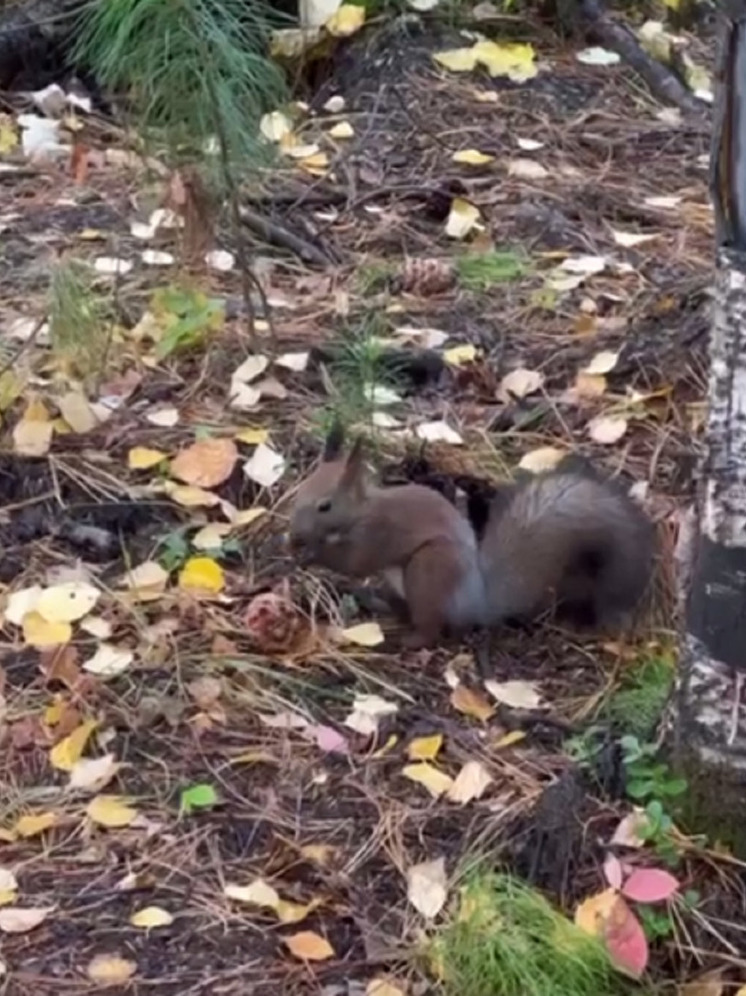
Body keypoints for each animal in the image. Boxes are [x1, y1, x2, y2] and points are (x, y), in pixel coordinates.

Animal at [288, 424, 652, 648]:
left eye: (324, 505)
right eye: (300, 489)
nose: (293, 531)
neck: (360, 512)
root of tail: (475, 601)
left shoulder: (377, 534)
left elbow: (354, 562)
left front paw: (311, 554)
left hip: (428, 570)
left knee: (431, 626)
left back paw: (410, 639)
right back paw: (376, 602)